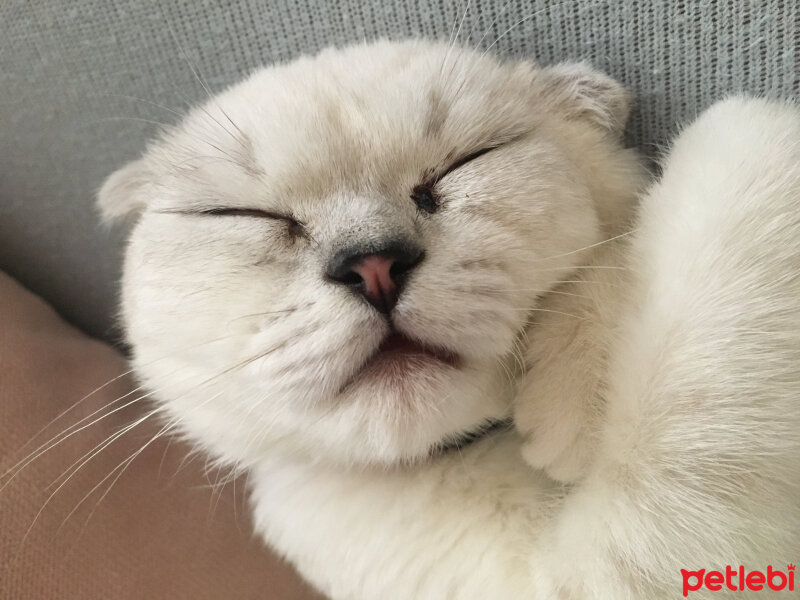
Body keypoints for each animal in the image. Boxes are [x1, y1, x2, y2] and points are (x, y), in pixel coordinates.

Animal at [100, 39, 800, 596]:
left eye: (467, 161)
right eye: (244, 216)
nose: (373, 265)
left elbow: (621, 252)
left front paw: (570, 405)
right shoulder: (581, 578)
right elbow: (745, 133)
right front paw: (572, 425)